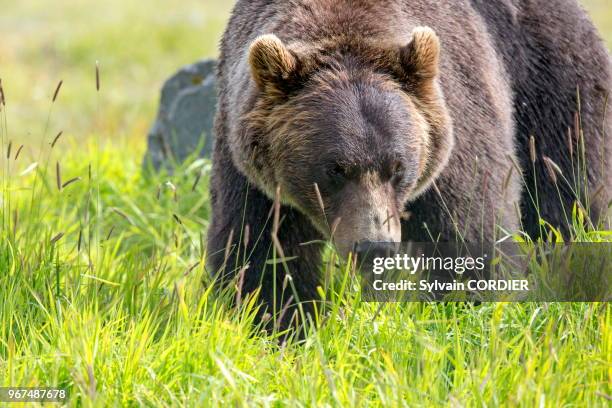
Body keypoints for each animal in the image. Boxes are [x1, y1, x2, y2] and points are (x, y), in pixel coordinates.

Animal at [208, 0, 608, 326]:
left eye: (397, 167)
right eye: (334, 169)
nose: (374, 246)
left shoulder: (455, 134)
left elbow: (470, 231)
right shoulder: (254, 173)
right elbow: (260, 250)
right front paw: (277, 323)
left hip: (552, 85)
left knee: (566, 199)